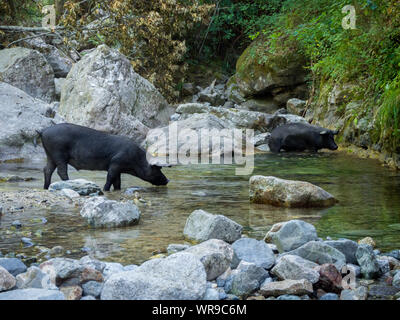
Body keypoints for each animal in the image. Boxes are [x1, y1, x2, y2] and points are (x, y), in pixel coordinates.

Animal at [38, 124, 169, 191]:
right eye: (158, 169)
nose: (168, 180)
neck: (136, 160)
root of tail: (43, 131)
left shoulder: (119, 168)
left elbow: (117, 182)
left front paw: (117, 190)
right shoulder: (115, 163)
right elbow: (110, 178)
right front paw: (105, 189)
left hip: (50, 154)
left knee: (47, 169)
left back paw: (46, 187)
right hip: (58, 153)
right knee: (61, 171)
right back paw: (68, 182)